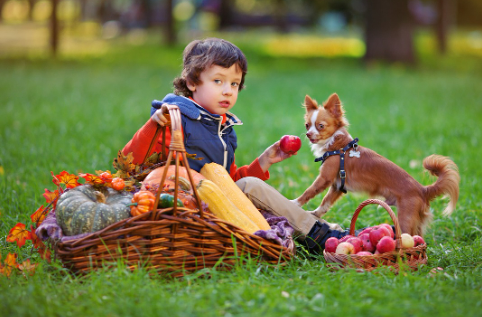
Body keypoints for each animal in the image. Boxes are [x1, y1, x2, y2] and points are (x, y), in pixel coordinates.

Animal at [290, 92, 460, 235]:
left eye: (320, 126)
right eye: (307, 125)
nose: (308, 134)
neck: (337, 145)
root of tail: (423, 190)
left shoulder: (325, 178)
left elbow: (309, 191)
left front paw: (295, 203)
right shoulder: (337, 186)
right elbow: (325, 202)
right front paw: (315, 214)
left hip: (405, 218)